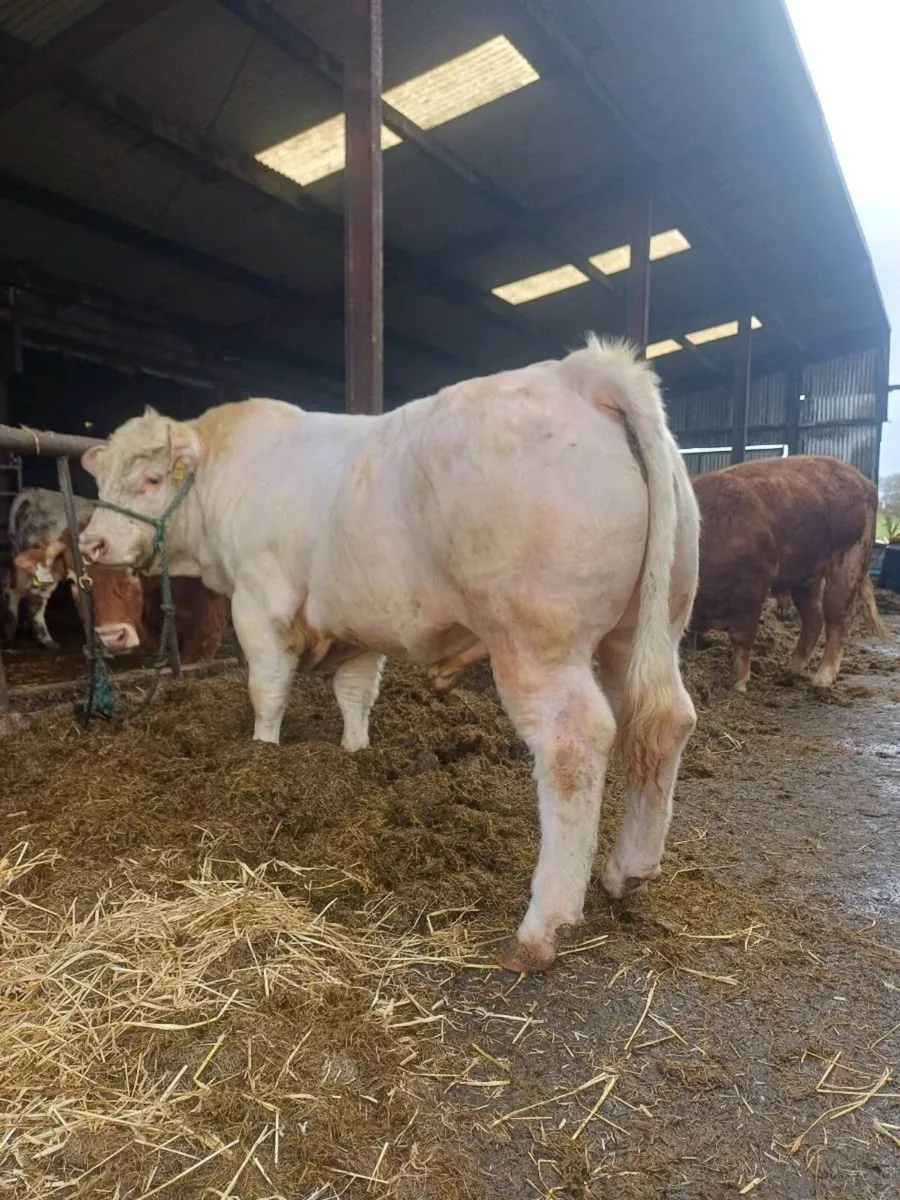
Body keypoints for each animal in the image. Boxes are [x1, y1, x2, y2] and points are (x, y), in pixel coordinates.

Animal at [2, 487, 94, 649]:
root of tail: (38, 494)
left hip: (21, 560)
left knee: (11, 587)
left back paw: (10, 634)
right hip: (47, 565)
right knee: (36, 598)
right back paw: (48, 641)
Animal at [77, 338, 699, 974]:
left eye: (151, 478)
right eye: (102, 483)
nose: (91, 543)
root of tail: (582, 373)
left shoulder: (259, 604)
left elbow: (267, 690)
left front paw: (262, 754)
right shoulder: (361, 625)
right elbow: (355, 692)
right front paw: (355, 753)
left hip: (535, 638)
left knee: (575, 742)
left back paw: (540, 929)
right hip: (645, 626)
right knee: (663, 722)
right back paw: (629, 870)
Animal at [691, 455, 888, 691]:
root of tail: (867, 483)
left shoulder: (755, 581)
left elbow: (742, 635)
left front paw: (739, 684)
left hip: (850, 559)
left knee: (837, 620)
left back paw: (822, 680)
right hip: (806, 576)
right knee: (814, 618)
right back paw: (791, 670)